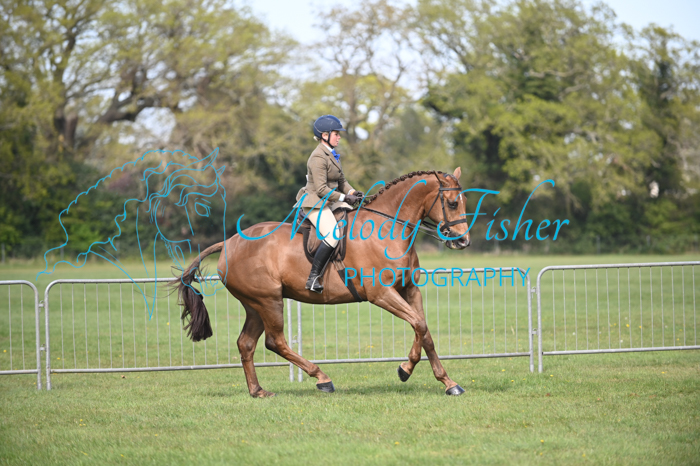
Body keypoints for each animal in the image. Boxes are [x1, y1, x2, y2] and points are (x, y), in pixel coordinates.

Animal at [175, 168, 472, 397]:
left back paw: (258, 391)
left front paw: (446, 382)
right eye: (452, 204)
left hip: (255, 305)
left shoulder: (409, 290)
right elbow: (419, 325)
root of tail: (229, 243)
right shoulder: (381, 294)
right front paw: (406, 369)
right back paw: (322, 378)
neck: (389, 228)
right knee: (275, 341)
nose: (463, 241)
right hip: (268, 301)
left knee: (246, 343)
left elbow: (424, 330)